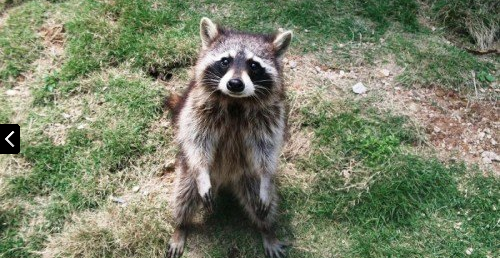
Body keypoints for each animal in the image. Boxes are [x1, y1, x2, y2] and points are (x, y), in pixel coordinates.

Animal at [168, 17, 292, 256]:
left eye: (254, 65)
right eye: (225, 61)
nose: (235, 84)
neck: (235, 101)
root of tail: (226, 181)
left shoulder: (270, 116)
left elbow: (266, 148)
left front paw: (267, 177)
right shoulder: (196, 108)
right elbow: (197, 140)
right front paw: (202, 173)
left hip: (249, 176)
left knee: (261, 204)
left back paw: (267, 230)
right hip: (187, 172)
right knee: (184, 195)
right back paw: (180, 225)